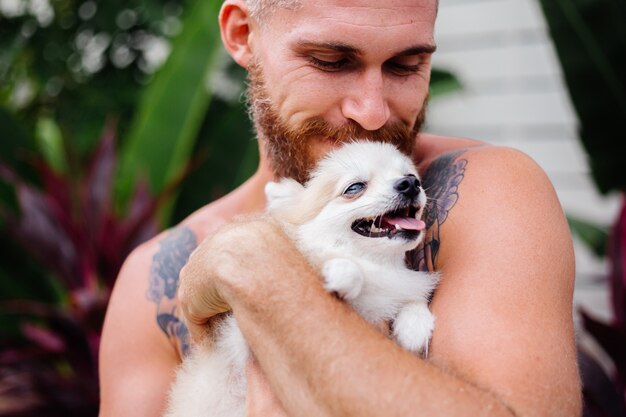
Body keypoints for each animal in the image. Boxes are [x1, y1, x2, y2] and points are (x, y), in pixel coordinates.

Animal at [166, 141, 438, 416]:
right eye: (355, 187)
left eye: (411, 175)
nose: (410, 183)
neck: (377, 265)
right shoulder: (242, 334)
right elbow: (348, 270)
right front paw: (343, 275)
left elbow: (412, 299)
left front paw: (414, 326)